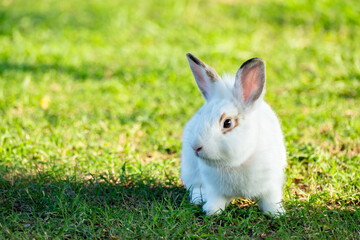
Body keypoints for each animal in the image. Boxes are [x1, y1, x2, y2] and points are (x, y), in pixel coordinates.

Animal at [180, 53, 286, 217]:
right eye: (201, 116)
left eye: (227, 123)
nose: (196, 147)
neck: (235, 164)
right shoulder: (214, 188)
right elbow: (216, 198)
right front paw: (211, 210)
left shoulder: (271, 184)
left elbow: (271, 199)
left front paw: (276, 213)